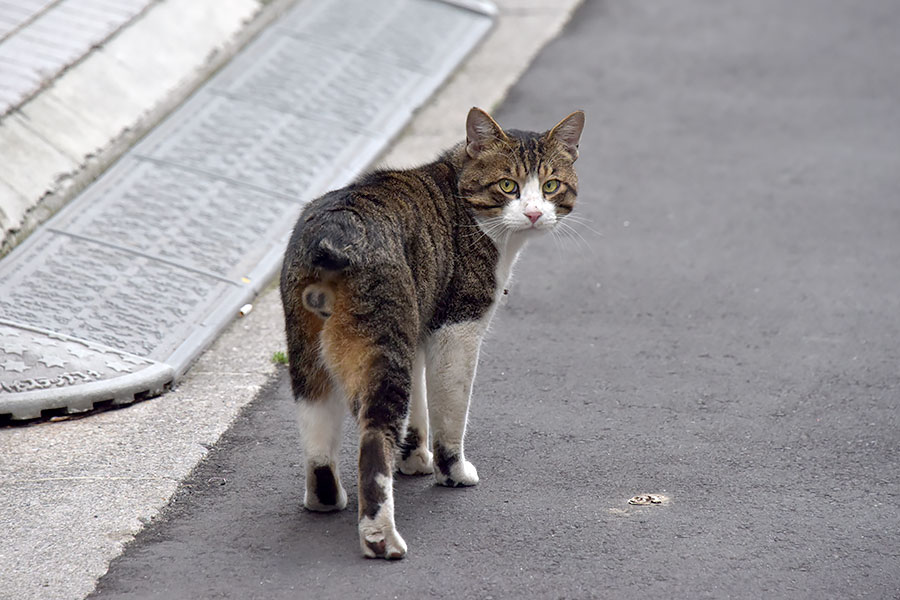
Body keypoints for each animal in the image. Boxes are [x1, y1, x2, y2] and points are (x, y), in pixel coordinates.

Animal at [284, 106, 588, 556]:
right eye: (508, 185)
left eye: (551, 186)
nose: (534, 213)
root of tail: (331, 234)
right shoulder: (456, 328)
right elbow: (450, 412)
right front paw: (453, 472)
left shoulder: (419, 326)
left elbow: (420, 409)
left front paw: (414, 461)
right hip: (383, 343)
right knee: (373, 444)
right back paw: (381, 539)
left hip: (312, 353)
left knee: (317, 430)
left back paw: (325, 500)